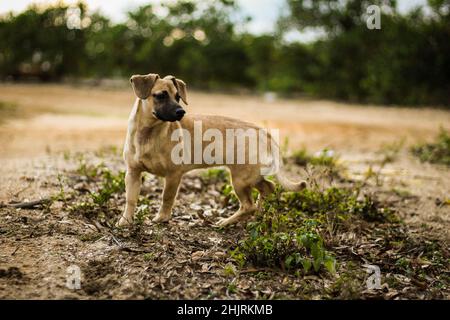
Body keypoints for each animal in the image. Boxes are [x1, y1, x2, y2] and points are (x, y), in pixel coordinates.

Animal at [116, 73, 308, 228]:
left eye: (178, 97)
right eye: (161, 96)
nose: (181, 112)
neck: (149, 133)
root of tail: (264, 133)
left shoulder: (173, 176)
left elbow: (166, 198)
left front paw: (161, 218)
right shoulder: (132, 174)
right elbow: (130, 199)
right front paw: (125, 221)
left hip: (240, 179)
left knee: (249, 204)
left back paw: (226, 222)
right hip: (251, 175)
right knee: (268, 188)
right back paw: (259, 216)